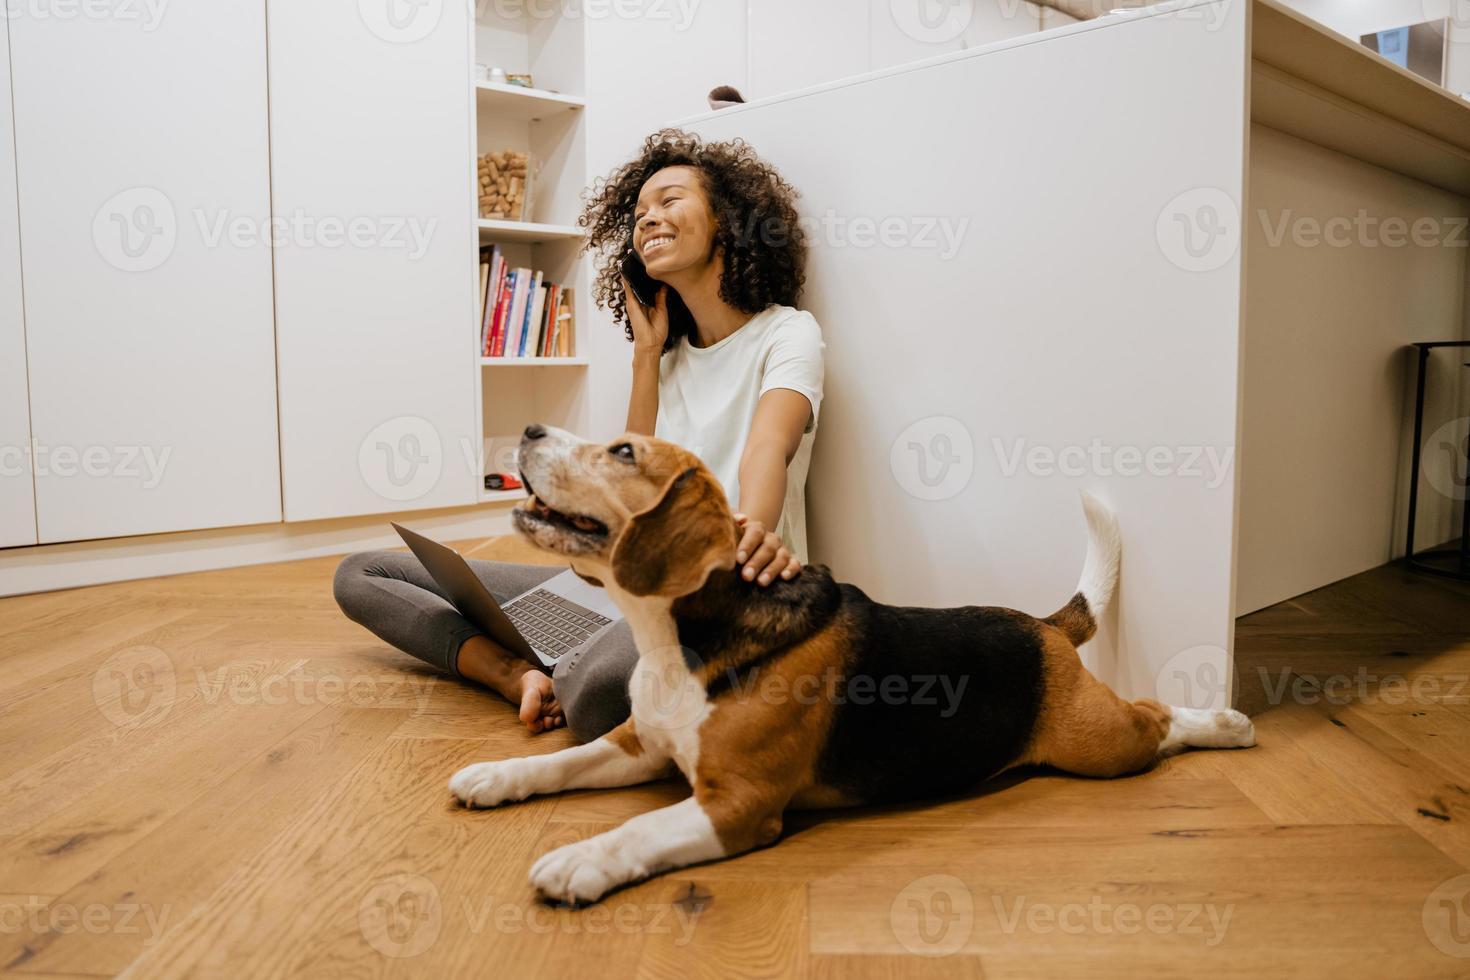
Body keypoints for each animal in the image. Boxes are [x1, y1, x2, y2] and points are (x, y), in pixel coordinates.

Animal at [446, 426, 1252, 910]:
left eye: (621, 453)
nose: (529, 430)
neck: (677, 639)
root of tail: (1044, 626)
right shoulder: (638, 745)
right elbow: (562, 760)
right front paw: (496, 775)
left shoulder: (738, 805)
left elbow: (638, 830)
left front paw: (580, 859)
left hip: (1099, 747)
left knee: (1157, 719)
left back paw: (1227, 723)